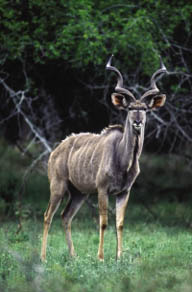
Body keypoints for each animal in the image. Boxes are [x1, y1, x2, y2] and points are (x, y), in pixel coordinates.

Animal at [41, 56, 167, 262]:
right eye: (130, 108)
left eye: (145, 109)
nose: (137, 122)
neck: (123, 161)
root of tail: (55, 151)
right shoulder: (102, 189)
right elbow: (104, 222)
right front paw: (100, 257)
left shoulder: (124, 192)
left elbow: (119, 223)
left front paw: (119, 257)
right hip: (58, 186)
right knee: (47, 216)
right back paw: (43, 257)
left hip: (79, 193)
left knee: (66, 216)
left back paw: (73, 256)